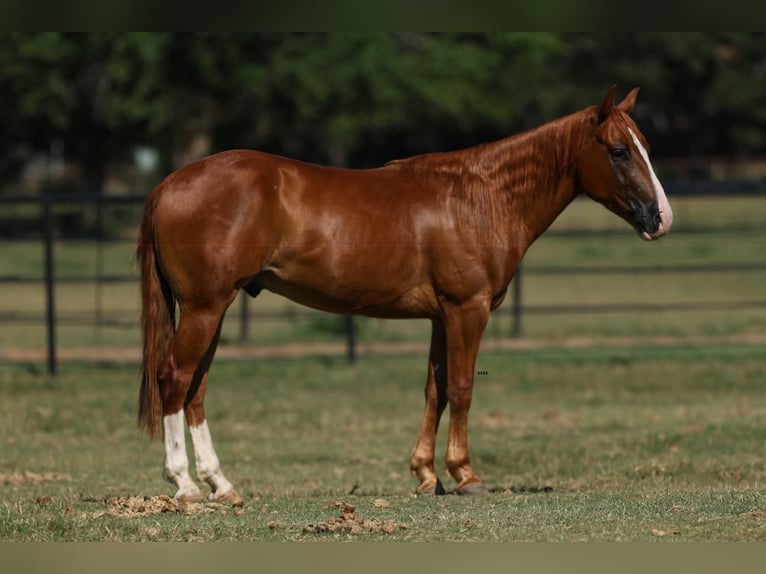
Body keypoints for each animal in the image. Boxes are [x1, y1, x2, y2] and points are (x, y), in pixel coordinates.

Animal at [136, 86, 672, 504]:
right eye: (619, 151)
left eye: (645, 145)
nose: (661, 217)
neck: (481, 197)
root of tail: (168, 185)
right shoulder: (467, 310)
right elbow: (462, 387)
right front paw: (465, 475)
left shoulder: (440, 317)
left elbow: (436, 389)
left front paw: (426, 475)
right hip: (205, 309)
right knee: (174, 377)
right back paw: (184, 484)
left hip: (213, 309)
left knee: (196, 387)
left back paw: (221, 484)